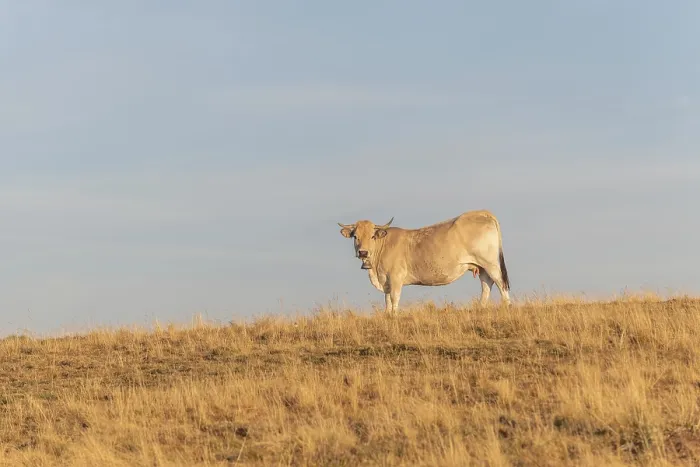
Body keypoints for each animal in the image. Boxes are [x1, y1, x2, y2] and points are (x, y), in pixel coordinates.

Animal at [338, 210, 511, 312]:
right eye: (355, 236)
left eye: (372, 236)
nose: (363, 252)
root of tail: (481, 212)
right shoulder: (386, 281)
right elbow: (387, 301)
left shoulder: (396, 278)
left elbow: (394, 299)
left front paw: (394, 317)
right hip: (481, 267)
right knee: (486, 285)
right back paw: (480, 308)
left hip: (491, 264)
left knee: (501, 284)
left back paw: (506, 306)